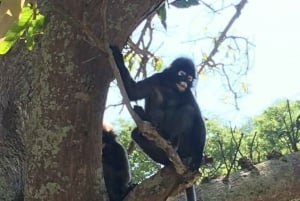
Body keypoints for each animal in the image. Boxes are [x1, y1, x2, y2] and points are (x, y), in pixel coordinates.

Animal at [110, 45, 206, 201]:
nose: (185, 82)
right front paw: (116, 55)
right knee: (137, 134)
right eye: (181, 73)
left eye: (189, 77)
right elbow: (133, 92)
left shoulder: (187, 94)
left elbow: (198, 118)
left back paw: (172, 142)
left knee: (188, 109)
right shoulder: (156, 79)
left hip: (186, 144)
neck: (172, 87)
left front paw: (198, 159)